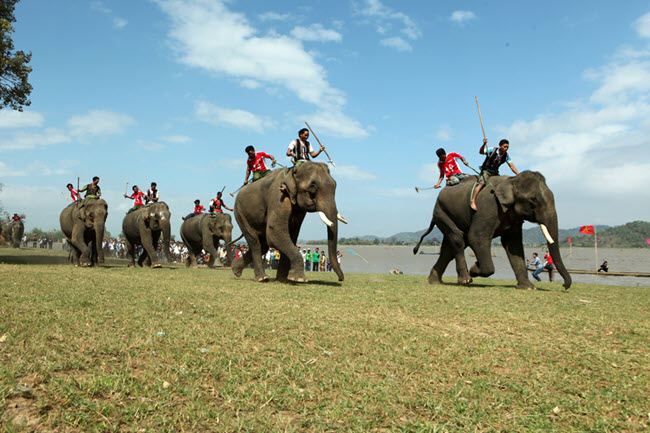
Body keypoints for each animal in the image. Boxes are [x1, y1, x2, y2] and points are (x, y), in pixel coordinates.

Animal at [412, 170, 568, 290]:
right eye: (533, 200)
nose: (564, 286)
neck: (511, 180)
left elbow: (513, 245)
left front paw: (528, 288)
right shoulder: (489, 207)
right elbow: (477, 237)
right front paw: (474, 268)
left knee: (449, 248)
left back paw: (435, 281)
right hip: (441, 212)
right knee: (458, 239)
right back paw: (465, 279)